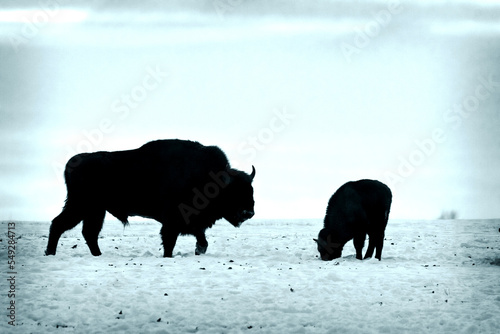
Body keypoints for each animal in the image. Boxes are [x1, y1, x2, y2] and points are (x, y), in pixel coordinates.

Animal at [45, 140, 256, 258]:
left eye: (251, 189)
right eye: (235, 192)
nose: (249, 212)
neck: (209, 178)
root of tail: (71, 163)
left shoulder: (194, 223)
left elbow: (202, 241)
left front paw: (198, 251)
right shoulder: (173, 221)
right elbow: (169, 241)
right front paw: (168, 256)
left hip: (95, 210)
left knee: (89, 232)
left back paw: (97, 255)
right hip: (80, 205)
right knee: (59, 224)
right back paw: (50, 253)